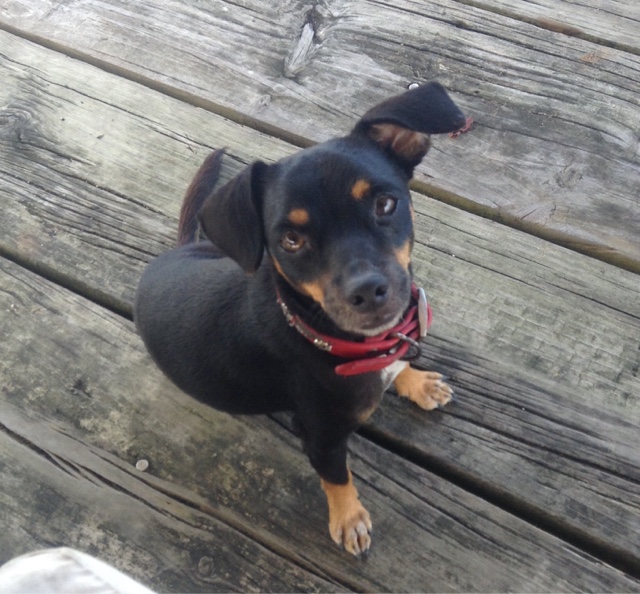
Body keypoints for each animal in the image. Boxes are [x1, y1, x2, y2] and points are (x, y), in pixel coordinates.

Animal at [134, 82, 466, 556]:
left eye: (385, 203)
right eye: (290, 240)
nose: (367, 291)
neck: (326, 334)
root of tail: (169, 256)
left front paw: (416, 382)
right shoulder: (320, 436)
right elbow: (338, 477)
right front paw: (349, 519)